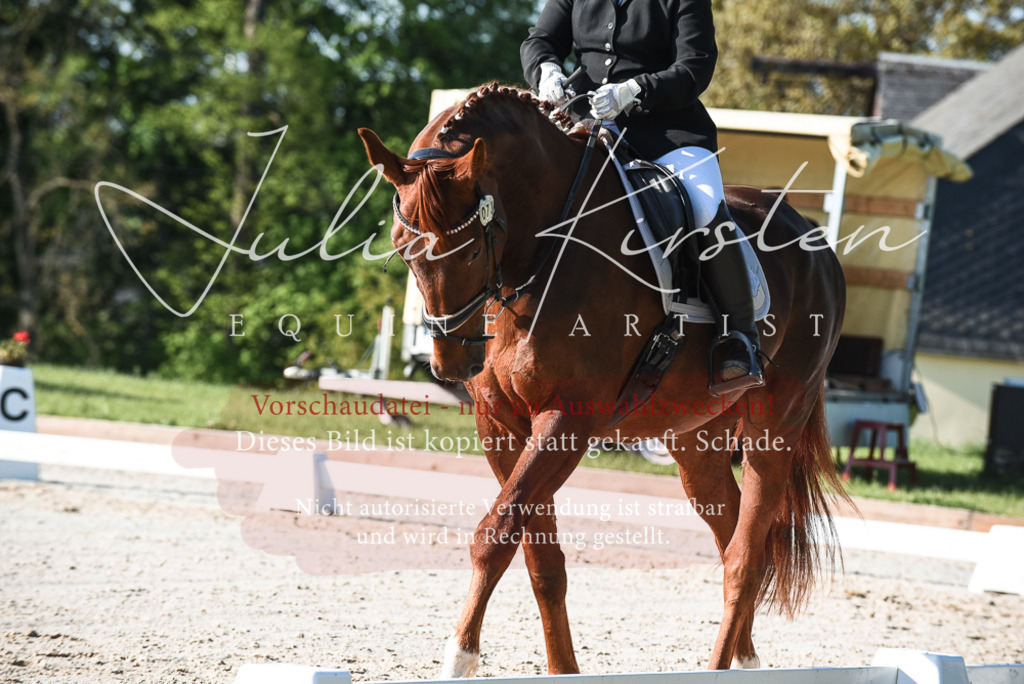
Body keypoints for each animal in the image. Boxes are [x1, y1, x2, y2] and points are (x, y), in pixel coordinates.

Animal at [358, 82, 847, 674]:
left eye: (473, 248)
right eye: (402, 249)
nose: (454, 364)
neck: (544, 250)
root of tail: (816, 243)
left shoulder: (568, 419)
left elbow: (496, 535)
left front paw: (459, 659)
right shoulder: (501, 425)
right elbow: (541, 559)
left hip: (774, 427)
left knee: (746, 558)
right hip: (696, 441)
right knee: (732, 536)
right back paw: (745, 660)